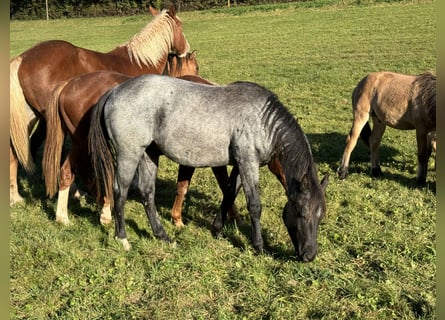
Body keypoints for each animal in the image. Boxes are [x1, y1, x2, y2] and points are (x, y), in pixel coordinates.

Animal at [9, 4, 189, 205]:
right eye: (180, 26)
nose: (187, 49)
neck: (141, 62)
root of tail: (23, 58)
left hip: (30, 118)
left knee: (16, 152)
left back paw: (16, 195)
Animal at [88, 74, 328, 262]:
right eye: (302, 212)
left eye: (320, 216)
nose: (309, 255)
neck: (263, 120)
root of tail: (114, 91)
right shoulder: (248, 162)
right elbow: (254, 206)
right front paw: (259, 246)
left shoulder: (240, 165)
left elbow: (229, 194)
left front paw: (217, 230)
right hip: (129, 154)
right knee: (120, 192)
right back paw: (123, 238)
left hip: (149, 154)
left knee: (147, 194)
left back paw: (163, 236)